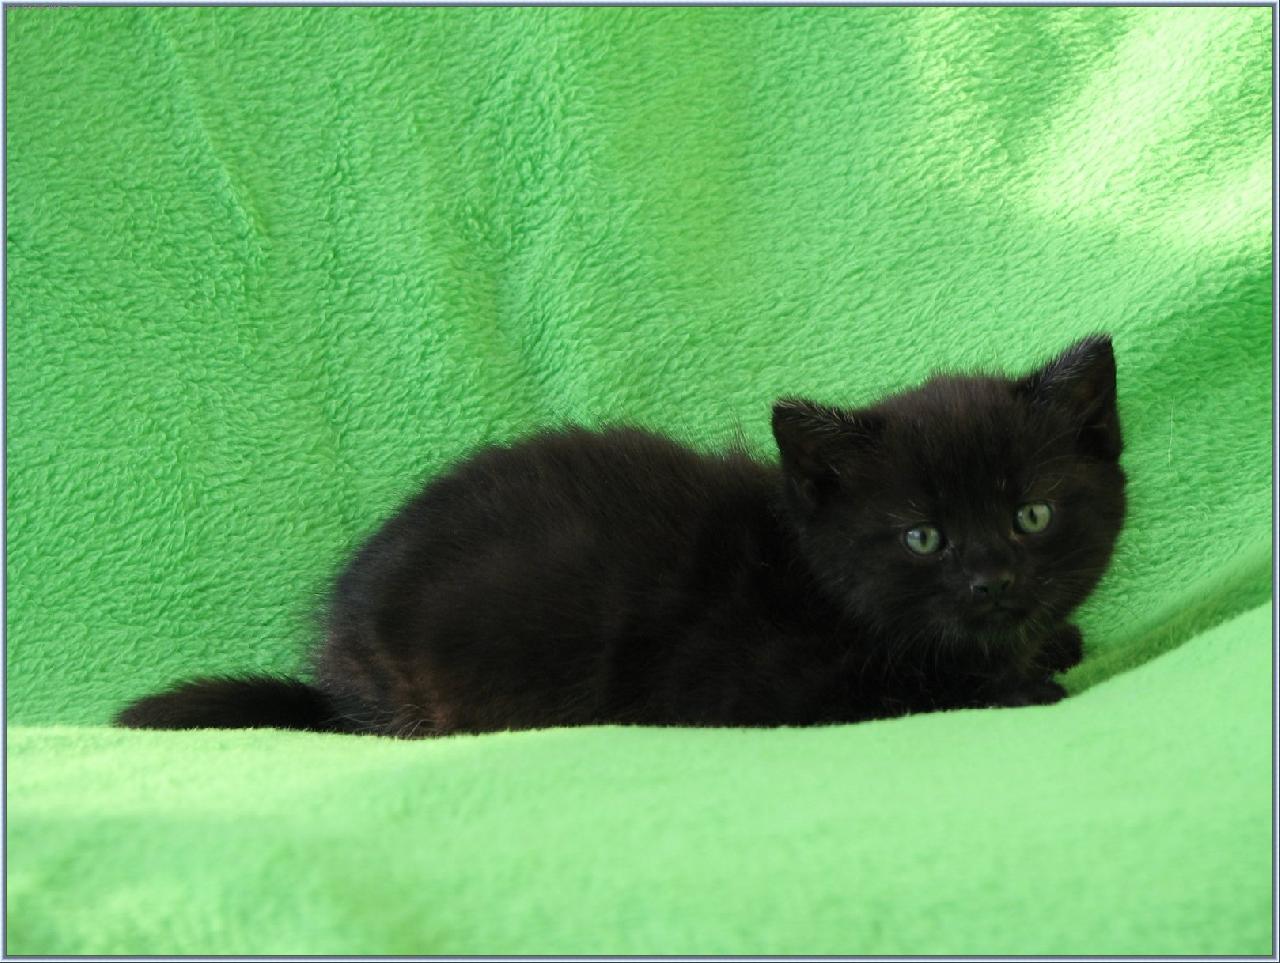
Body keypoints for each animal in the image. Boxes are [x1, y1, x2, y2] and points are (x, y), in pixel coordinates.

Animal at [116, 334, 1126, 737]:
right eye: (922, 538)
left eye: (1031, 515)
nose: (993, 580)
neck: (808, 567)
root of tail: (336, 677)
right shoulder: (756, 691)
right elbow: (914, 692)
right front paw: (1020, 684)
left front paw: (1052, 643)